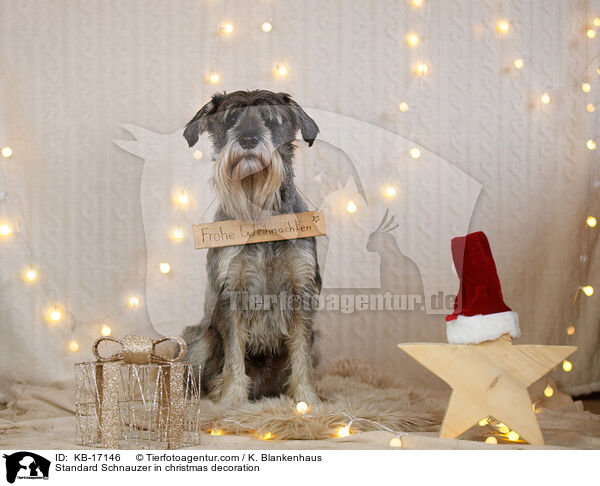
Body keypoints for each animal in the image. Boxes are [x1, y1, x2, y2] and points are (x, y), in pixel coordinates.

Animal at [182, 91, 322, 406]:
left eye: (270, 119)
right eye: (231, 118)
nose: (248, 139)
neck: (261, 217)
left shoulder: (301, 289)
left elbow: (301, 351)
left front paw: (306, 398)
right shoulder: (232, 291)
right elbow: (234, 351)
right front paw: (232, 398)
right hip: (198, 340)